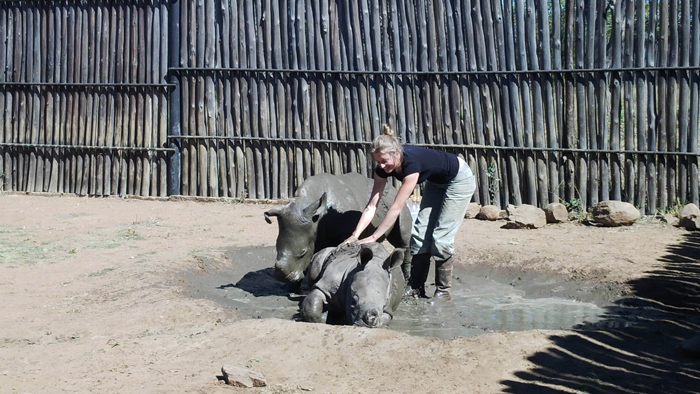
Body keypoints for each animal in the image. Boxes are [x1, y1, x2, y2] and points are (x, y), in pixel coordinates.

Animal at [266, 172, 412, 286]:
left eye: (302, 252)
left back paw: (406, 284)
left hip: (399, 202)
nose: (282, 277)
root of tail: (394, 187)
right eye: (276, 247)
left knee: (402, 240)